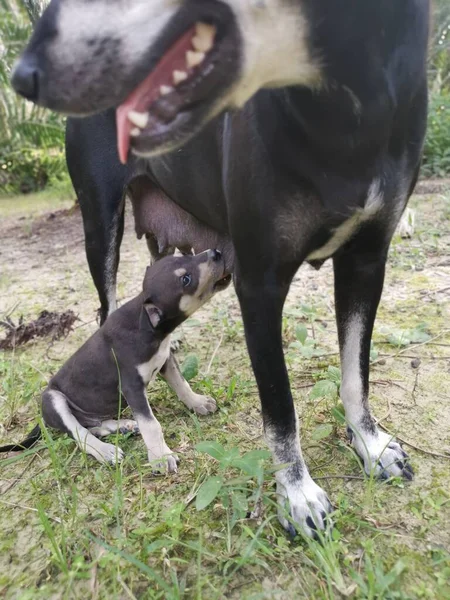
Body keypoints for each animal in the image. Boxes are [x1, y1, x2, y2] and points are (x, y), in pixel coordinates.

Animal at [0, 248, 230, 468]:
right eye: (186, 279)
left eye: (186, 255)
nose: (217, 252)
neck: (147, 326)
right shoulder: (131, 387)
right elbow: (151, 424)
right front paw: (161, 457)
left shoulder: (165, 360)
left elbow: (182, 384)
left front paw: (198, 402)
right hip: (53, 399)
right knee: (80, 434)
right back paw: (106, 451)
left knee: (93, 426)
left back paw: (124, 425)